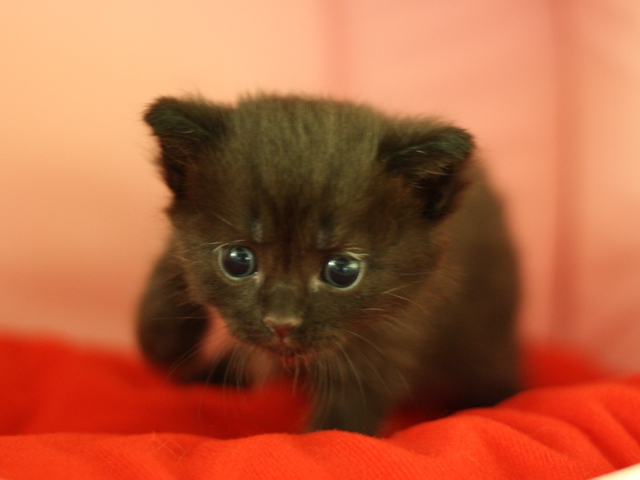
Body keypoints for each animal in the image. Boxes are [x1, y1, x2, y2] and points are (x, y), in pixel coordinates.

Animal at [136, 94, 520, 436]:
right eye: (237, 261)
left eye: (342, 271)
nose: (281, 323)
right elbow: (174, 259)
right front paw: (160, 337)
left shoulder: (392, 336)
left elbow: (342, 422)